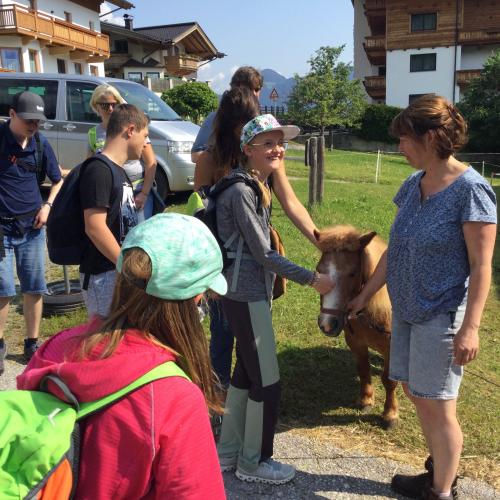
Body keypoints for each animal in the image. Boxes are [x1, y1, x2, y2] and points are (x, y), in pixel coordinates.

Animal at [316, 225, 398, 428]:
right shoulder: (356, 342)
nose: (327, 324)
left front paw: (390, 414)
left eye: (353, 272)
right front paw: (366, 400)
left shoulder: (392, 349)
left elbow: (389, 381)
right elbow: (363, 369)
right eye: (318, 270)